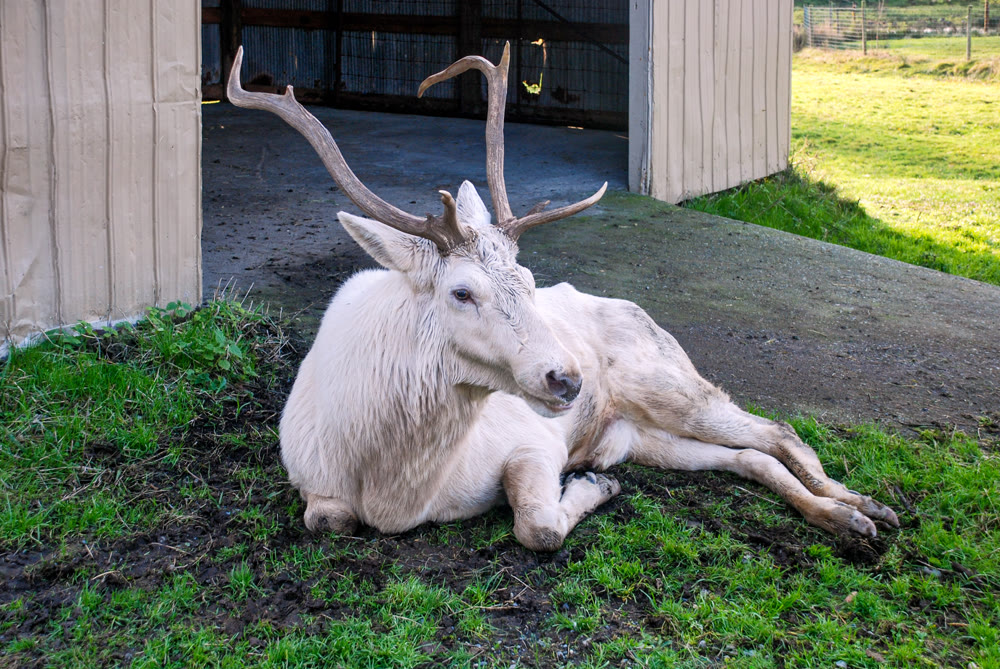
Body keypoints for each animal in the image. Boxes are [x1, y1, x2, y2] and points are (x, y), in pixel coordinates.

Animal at [227, 45, 899, 551]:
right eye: (461, 292)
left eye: (528, 280)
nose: (568, 379)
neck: (394, 486)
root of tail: (643, 314)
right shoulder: (312, 484)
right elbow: (327, 520)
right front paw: (599, 485)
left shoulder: (535, 443)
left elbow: (539, 527)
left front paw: (593, 490)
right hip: (643, 436)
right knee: (749, 459)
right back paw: (847, 518)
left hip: (671, 385)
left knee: (777, 429)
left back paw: (865, 508)